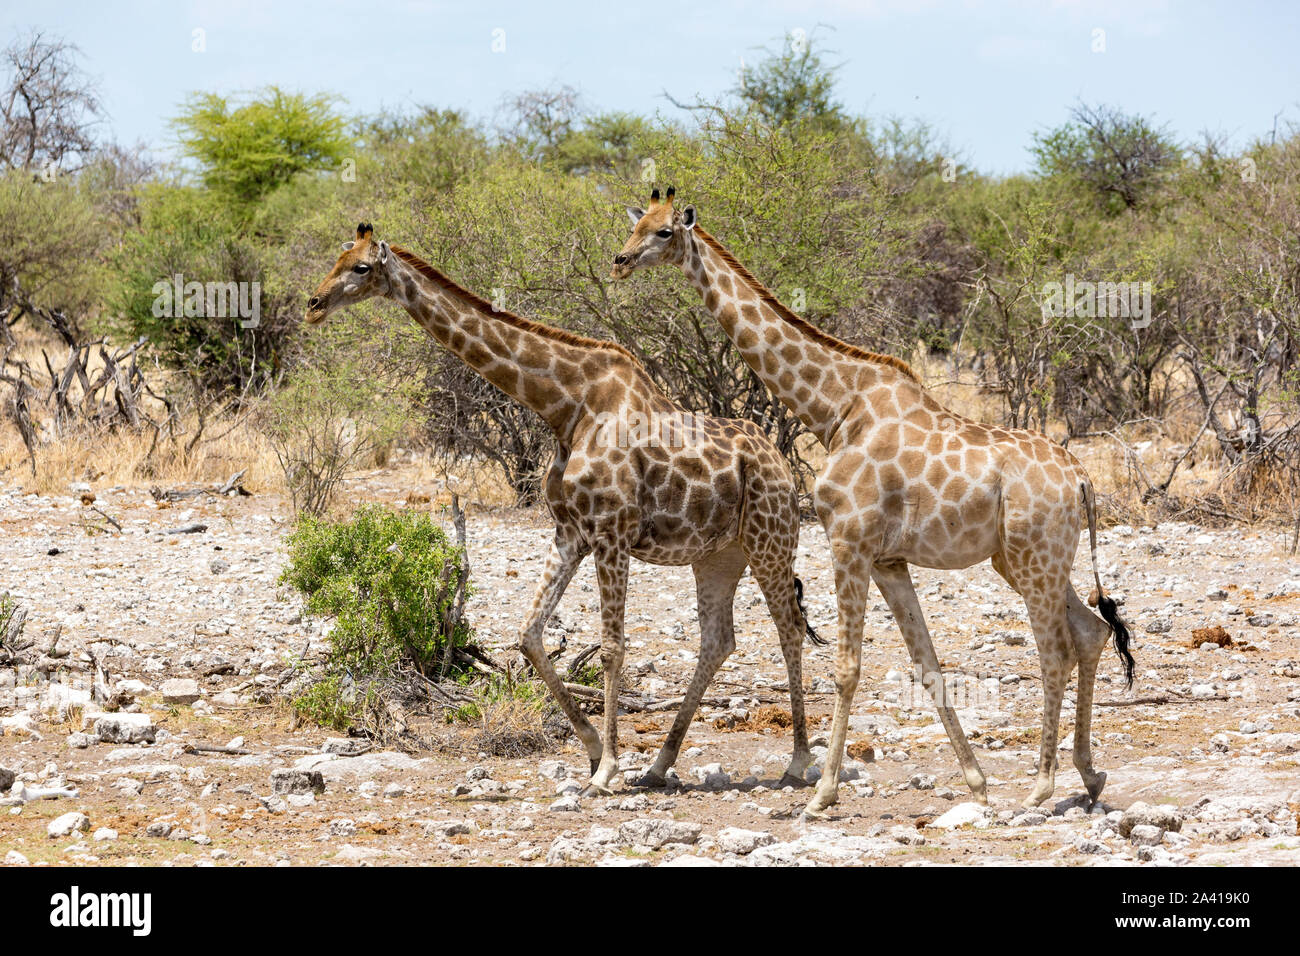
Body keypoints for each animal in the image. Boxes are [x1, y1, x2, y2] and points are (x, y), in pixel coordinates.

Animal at [306, 222, 821, 790]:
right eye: (337, 259)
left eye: (360, 267)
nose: (313, 304)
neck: (565, 405)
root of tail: (781, 463)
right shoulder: (570, 532)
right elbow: (529, 636)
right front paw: (595, 751)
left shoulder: (612, 533)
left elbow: (613, 647)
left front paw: (609, 768)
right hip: (717, 556)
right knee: (718, 640)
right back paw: (660, 764)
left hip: (770, 541)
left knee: (789, 627)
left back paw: (797, 761)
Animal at [613, 191, 1133, 816]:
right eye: (635, 224)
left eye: (663, 232)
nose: (619, 261)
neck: (834, 408)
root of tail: (1080, 477)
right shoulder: (889, 560)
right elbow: (926, 662)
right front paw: (976, 781)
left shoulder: (849, 541)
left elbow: (846, 668)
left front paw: (823, 792)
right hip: (1026, 559)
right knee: (1091, 632)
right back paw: (1090, 774)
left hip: (1035, 558)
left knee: (1055, 649)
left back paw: (1042, 785)